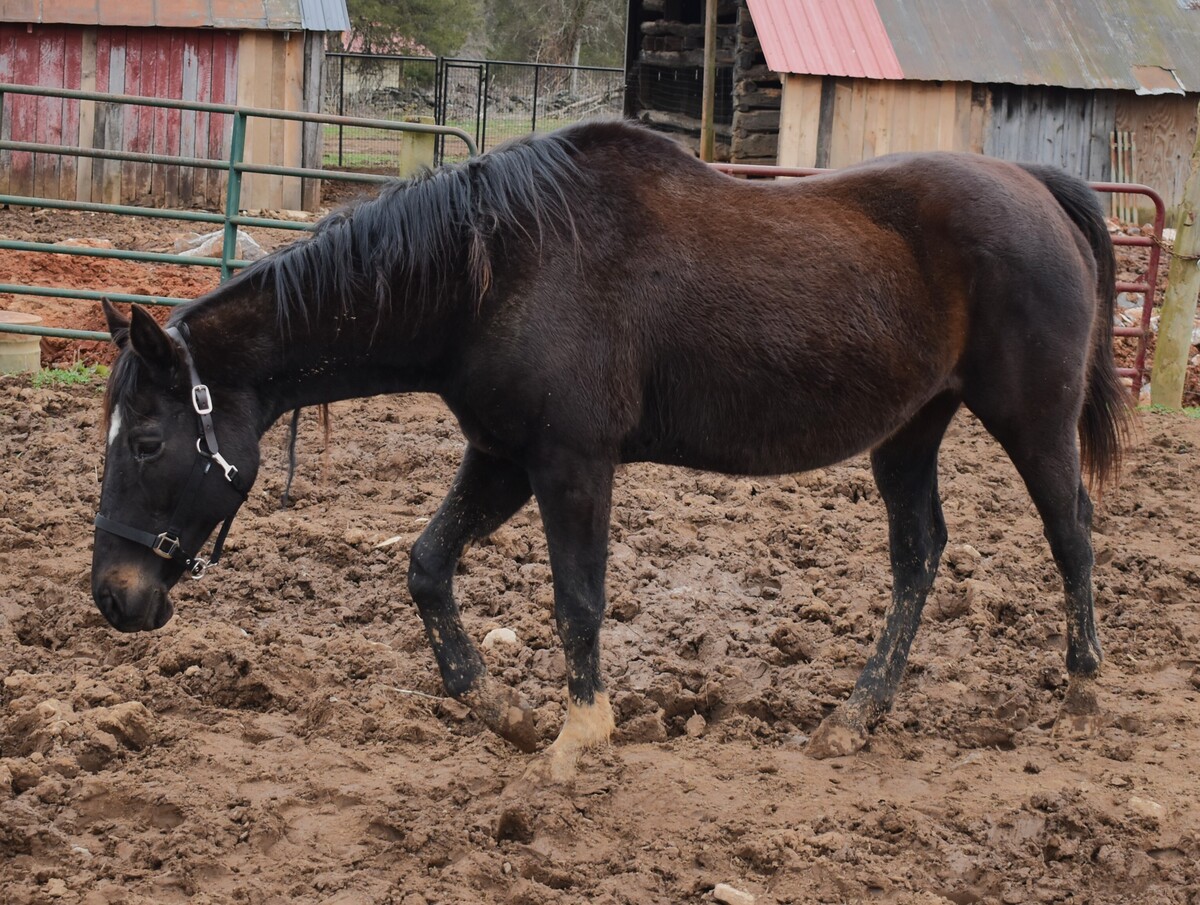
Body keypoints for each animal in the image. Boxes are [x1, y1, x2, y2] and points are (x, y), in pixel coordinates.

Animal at [91, 119, 1130, 774]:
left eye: (145, 439)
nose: (113, 595)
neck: (497, 270)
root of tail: (1037, 188)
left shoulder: (571, 465)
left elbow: (578, 600)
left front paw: (580, 736)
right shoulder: (502, 457)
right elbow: (427, 566)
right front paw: (496, 704)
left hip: (1032, 419)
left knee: (1072, 533)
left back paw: (1084, 688)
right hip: (910, 432)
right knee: (918, 556)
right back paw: (854, 715)